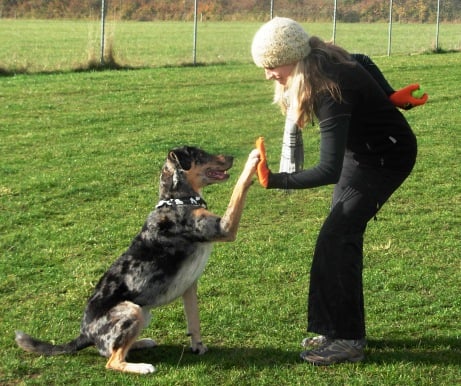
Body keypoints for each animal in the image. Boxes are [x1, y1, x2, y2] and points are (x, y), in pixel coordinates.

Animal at [14, 146, 256, 374]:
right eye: (200, 154)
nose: (232, 157)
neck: (177, 200)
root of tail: (85, 334)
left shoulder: (190, 285)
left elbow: (193, 320)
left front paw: (197, 346)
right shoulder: (224, 227)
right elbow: (239, 189)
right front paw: (253, 159)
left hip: (143, 313)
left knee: (114, 349)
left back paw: (142, 342)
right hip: (132, 310)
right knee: (112, 360)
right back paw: (142, 367)